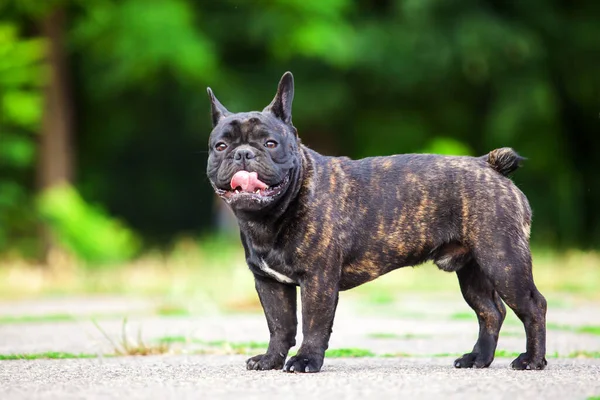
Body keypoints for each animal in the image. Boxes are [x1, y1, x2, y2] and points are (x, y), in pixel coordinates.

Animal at [206, 71, 548, 372]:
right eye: (220, 146)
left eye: (270, 144)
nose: (243, 154)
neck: (270, 215)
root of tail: (489, 165)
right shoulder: (270, 284)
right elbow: (279, 326)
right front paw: (270, 360)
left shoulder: (318, 279)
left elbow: (314, 323)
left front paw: (305, 361)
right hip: (473, 270)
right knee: (490, 311)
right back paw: (478, 359)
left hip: (502, 260)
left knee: (533, 306)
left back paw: (532, 360)